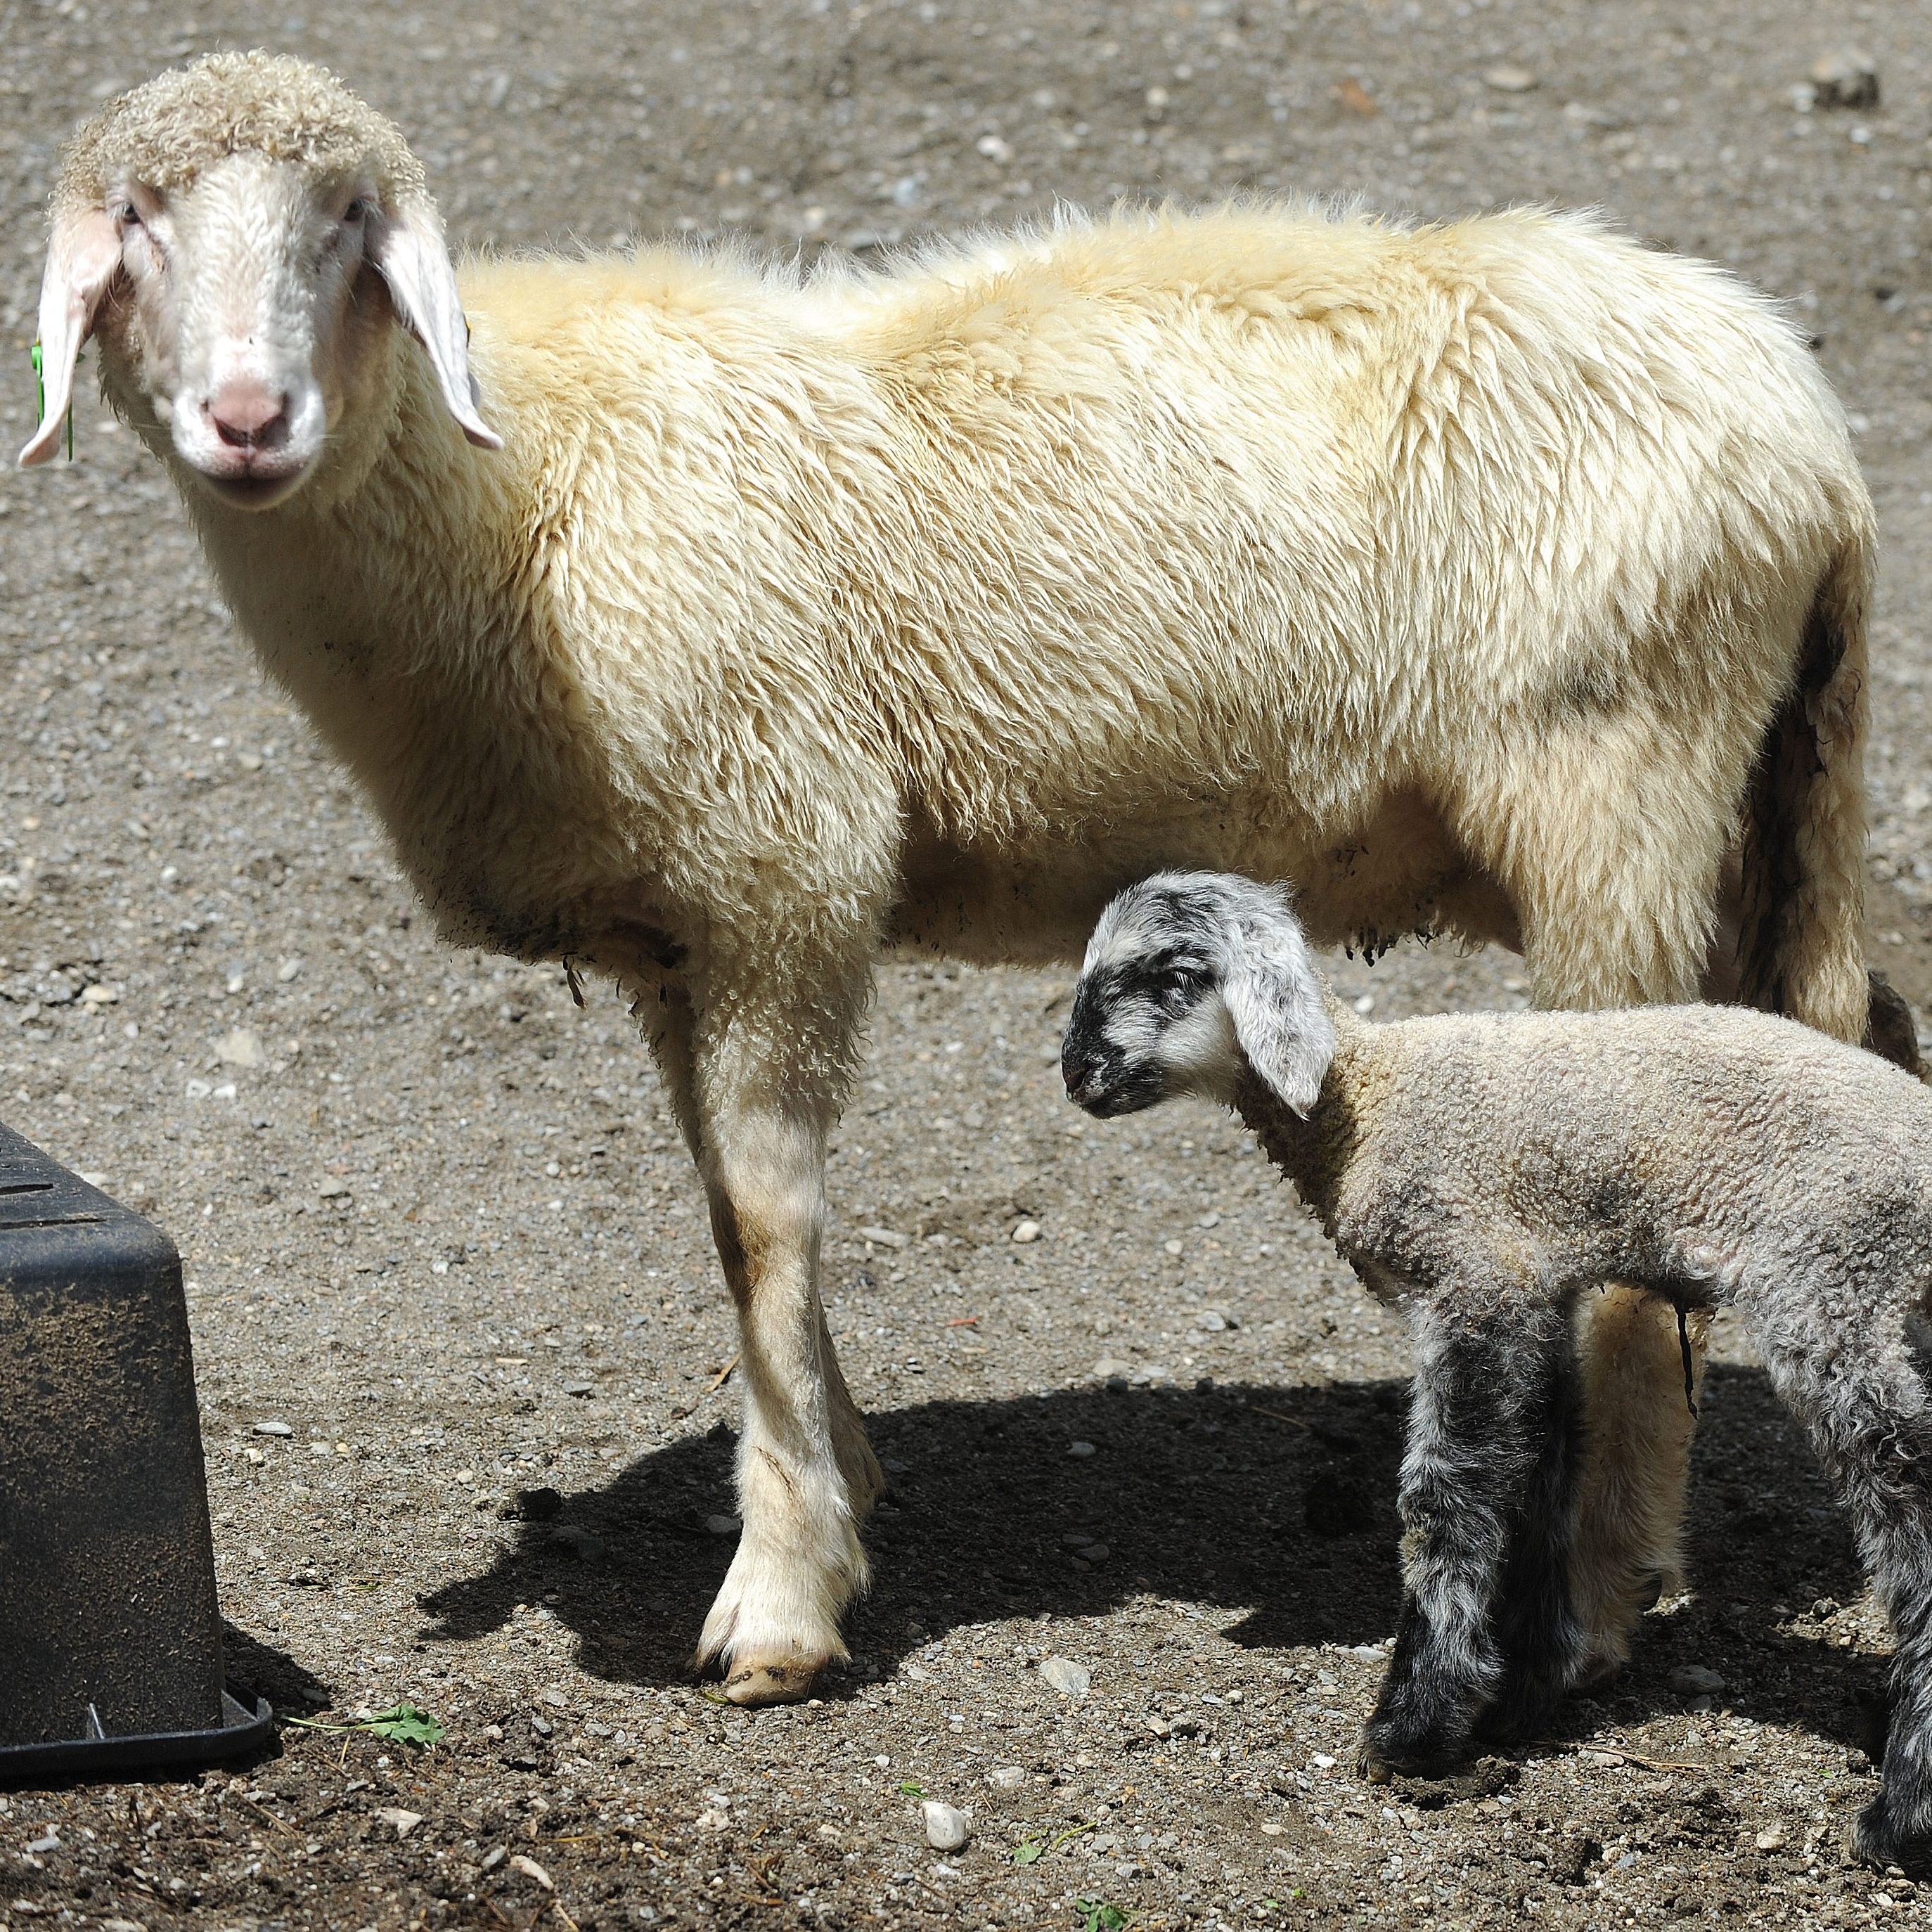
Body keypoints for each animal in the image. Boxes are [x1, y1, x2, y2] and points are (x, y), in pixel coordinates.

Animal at [22, 52, 1895, 1704]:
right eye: (138, 220)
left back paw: (1596, 1603)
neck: (513, 494)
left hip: (1615, 791)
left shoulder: (781, 866)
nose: (247, 417)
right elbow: (726, 1219)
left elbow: (762, 1222)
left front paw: (782, 1596)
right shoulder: (680, 933)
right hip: (1761, 809)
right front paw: (836, 1480)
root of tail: (1807, 433)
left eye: (347, 221)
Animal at [1064, 869, 1932, 1869]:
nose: (1076, 1076)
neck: (1367, 1099)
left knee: (1911, 1510)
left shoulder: (1474, 1283)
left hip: (1835, 1287)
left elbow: (1446, 1497)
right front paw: (1522, 1689)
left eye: (1172, 973)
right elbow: (1543, 1474)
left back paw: (1902, 1813)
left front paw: (1413, 1731)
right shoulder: (1539, 1294)